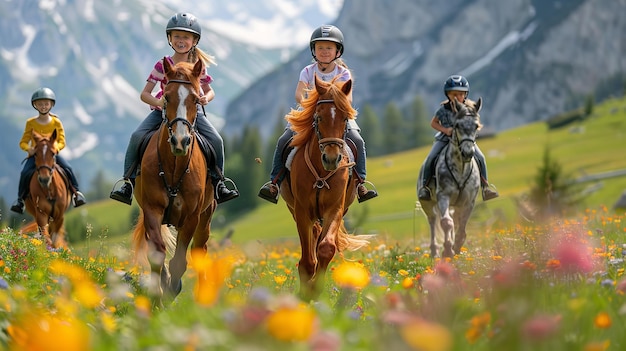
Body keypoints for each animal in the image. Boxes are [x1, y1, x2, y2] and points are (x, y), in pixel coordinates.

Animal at [130, 57, 216, 308]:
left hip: (206, 216)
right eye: (166, 97)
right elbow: (157, 254)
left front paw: (171, 291)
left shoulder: (192, 216)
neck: (175, 167)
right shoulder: (152, 210)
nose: (180, 141)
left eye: (196, 99)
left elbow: (180, 261)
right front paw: (157, 297)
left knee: (199, 249)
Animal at [280, 75, 370, 302]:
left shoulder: (335, 208)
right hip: (295, 210)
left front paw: (314, 289)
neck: (321, 171)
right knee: (312, 236)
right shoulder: (302, 210)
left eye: (345, 119)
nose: (331, 159)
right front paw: (305, 292)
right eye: (319, 118)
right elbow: (307, 261)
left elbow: (327, 248)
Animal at [416, 99, 480, 258]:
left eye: (476, 125)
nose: (467, 153)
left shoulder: (468, 202)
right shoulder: (443, 196)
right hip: (427, 203)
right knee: (433, 221)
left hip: (456, 205)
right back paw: (435, 251)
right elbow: (446, 222)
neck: (460, 169)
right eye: (457, 125)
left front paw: (456, 247)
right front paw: (448, 250)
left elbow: (461, 228)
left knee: (454, 220)